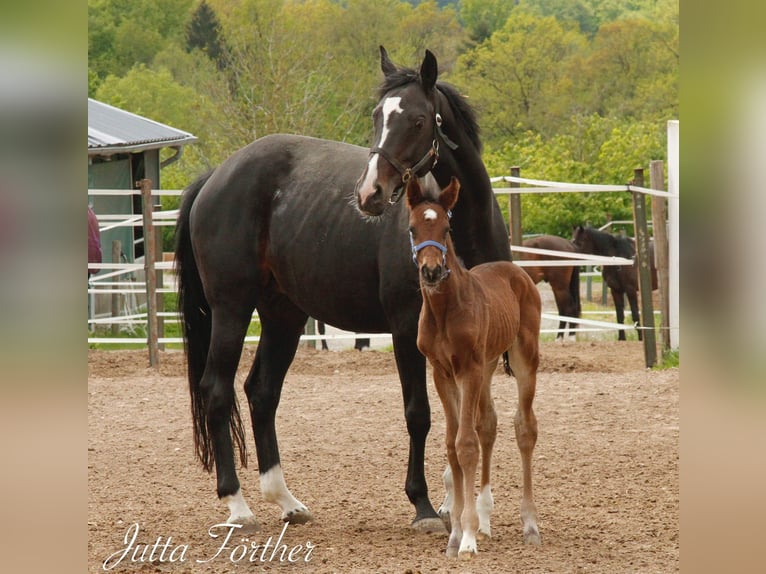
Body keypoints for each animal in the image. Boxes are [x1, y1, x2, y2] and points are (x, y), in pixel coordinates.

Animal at [174, 46, 511, 533]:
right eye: (377, 116)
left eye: (417, 120)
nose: (370, 193)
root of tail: (217, 175)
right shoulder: (407, 331)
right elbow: (419, 414)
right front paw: (425, 507)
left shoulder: (475, 342)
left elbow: (463, 416)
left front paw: (457, 506)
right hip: (231, 308)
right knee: (217, 391)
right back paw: (238, 505)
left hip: (284, 314)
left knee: (261, 392)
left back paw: (286, 501)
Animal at [406, 175, 541, 558]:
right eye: (412, 228)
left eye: (447, 227)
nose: (432, 271)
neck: (444, 311)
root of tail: (516, 271)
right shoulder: (442, 373)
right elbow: (453, 445)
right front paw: (456, 536)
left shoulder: (467, 370)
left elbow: (466, 444)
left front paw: (465, 538)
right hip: (488, 364)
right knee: (489, 424)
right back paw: (485, 519)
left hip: (523, 358)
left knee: (524, 428)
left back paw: (529, 525)